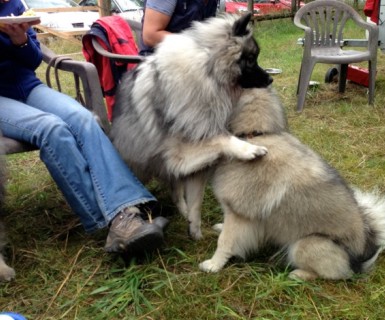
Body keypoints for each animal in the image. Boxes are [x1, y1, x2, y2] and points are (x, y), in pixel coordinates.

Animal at [109, 13, 272, 238]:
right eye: (250, 59)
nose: (270, 78)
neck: (208, 74)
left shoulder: (193, 168)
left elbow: (196, 203)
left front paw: (195, 233)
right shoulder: (179, 152)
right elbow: (222, 138)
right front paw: (248, 149)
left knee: (175, 191)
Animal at [196, 87, 385, 280]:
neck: (255, 134)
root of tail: (362, 258)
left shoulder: (238, 214)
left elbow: (225, 242)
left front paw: (213, 265)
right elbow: (227, 232)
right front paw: (220, 230)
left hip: (305, 244)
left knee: (330, 274)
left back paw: (298, 275)